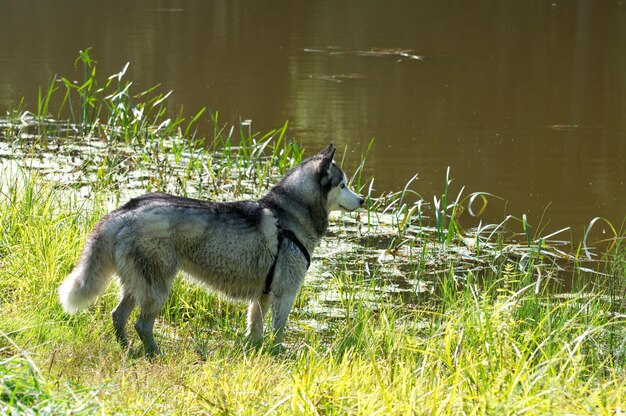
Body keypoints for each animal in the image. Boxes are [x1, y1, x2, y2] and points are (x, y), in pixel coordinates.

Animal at [59, 144, 360, 354]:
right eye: (343, 184)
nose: (363, 199)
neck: (289, 214)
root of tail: (125, 211)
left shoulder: (261, 297)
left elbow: (256, 330)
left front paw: (256, 354)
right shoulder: (284, 293)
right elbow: (278, 331)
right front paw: (278, 355)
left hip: (138, 283)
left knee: (118, 316)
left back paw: (128, 349)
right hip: (157, 286)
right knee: (141, 324)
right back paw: (155, 353)